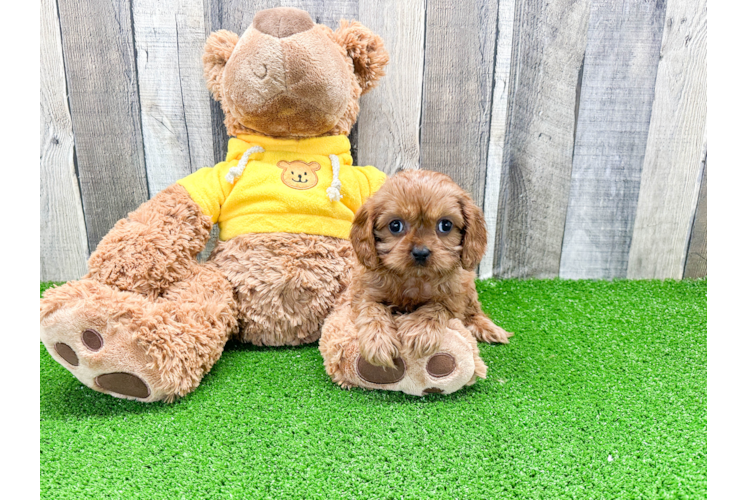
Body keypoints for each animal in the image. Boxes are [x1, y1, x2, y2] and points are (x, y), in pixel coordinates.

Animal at [348, 170, 512, 370]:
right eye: (395, 225)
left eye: (445, 225)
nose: (420, 252)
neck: (414, 278)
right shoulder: (365, 293)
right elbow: (372, 310)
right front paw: (378, 341)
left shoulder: (452, 297)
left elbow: (436, 307)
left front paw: (420, 331)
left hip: (468, 287)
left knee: (473, 310)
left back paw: (488, 327)